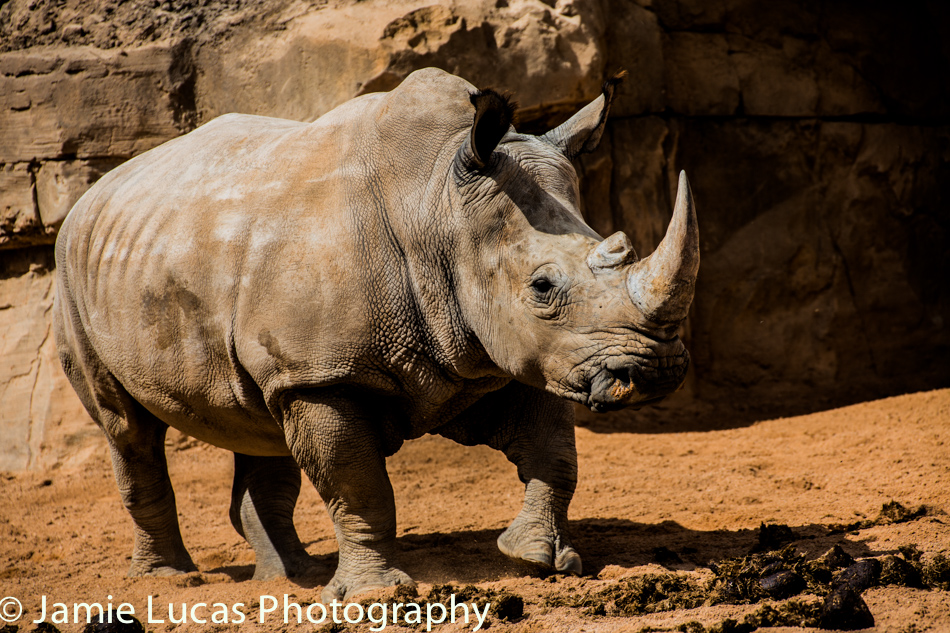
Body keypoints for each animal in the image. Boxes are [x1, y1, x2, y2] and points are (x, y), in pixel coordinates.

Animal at [53, 67, 699, 601]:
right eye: (542, 287)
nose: (658, 369)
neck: (436, 205)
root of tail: (94, 193)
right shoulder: (324, 374)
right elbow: (358, 484)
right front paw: (376, 595)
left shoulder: (521, 352)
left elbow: (556, 455)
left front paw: (539, 560)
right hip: (73, 276)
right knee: (127, 429)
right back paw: (171, 581)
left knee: (260, 425)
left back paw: (292, 577)